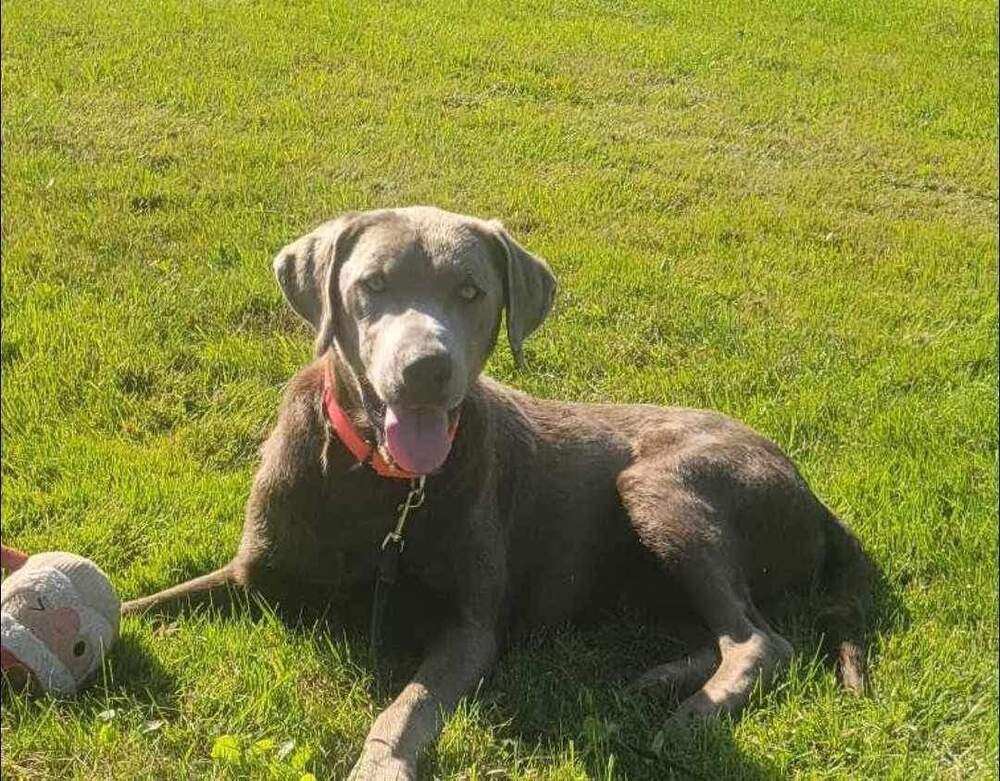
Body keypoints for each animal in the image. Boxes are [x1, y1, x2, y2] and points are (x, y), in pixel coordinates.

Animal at [125, 207, 872, 780]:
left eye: (470, 291)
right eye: (372, 284)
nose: (427, 368)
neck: (380, 483)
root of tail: (816, 498)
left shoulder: (470, 626)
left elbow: (406, 707)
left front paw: (380, 764)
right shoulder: (251, 573)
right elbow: (143, 603)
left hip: (661, 485)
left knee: (760, 640)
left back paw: (690, 712)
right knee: (728, 628)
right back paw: (659, 676)